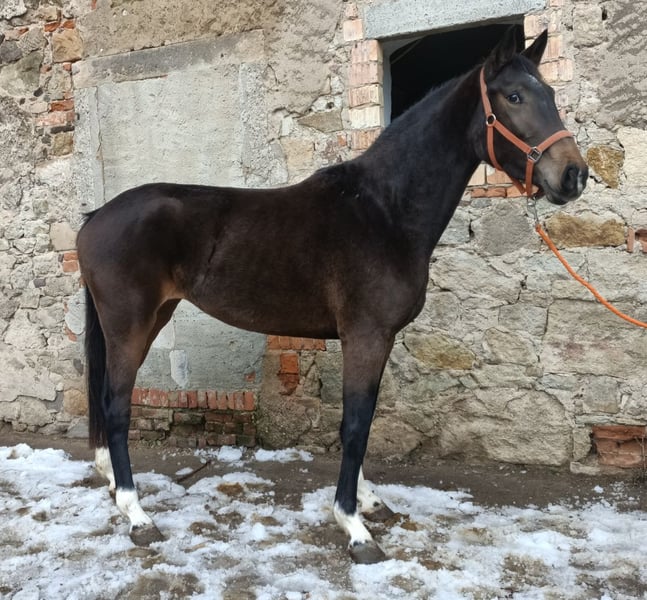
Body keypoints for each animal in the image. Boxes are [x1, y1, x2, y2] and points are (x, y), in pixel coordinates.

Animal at [76, 28, 588, 564]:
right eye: (514, 97)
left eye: (551, 94)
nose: (574, 176)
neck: (384, 211)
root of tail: (96, 217)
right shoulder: (367, 336)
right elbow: (356, 425)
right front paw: (355, 526)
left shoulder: (372, 339)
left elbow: (361, 421)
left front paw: (370, 501)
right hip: (131, 324)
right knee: (116, 406)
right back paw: (136, 514)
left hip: (151, 316)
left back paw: (112, 483)